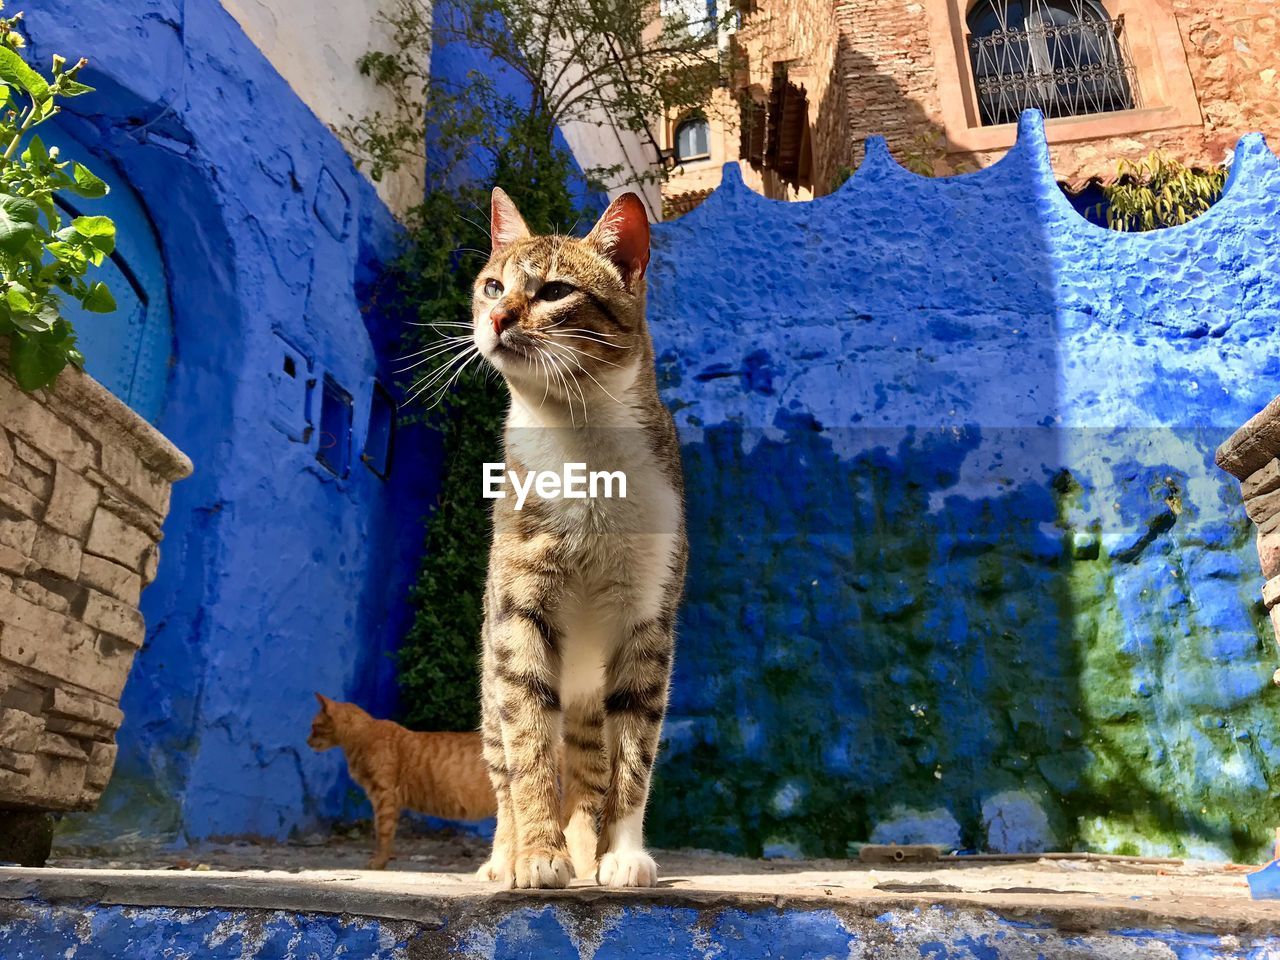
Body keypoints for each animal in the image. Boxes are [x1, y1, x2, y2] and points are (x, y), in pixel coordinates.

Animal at [307, 691, 496, 870]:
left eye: (314, 726)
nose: (307, 741)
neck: (362, 734)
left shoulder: (384, 796)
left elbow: (383, 833)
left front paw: (379, 863)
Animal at [468, 192, 686, 890]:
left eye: (556, 290)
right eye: (493, 286)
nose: (498, 317)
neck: (582, 446)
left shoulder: (647, 618)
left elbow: (635, 755)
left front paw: (622, 855)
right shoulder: (520, 611)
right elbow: (531, 745)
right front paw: (538, 855)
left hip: (591, 702)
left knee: (592, 770)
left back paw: (589, 850)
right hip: (489, 687)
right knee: (503, 769)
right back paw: (504, 855)